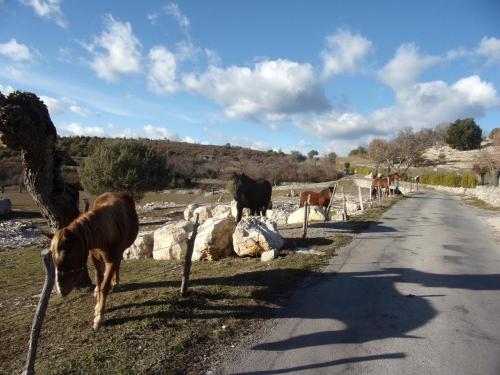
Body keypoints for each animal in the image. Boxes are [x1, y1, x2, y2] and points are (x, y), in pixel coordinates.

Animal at [49, 192, 139, 330]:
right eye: (53, 258)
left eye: (67, 257)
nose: (60, 290)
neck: (105, 233)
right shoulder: (95, 259)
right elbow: (99, 280)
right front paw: (98, 305)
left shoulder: (111, 260)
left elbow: (105, 286)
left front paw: (99, 316)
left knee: (118, 264)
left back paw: (116, 283)